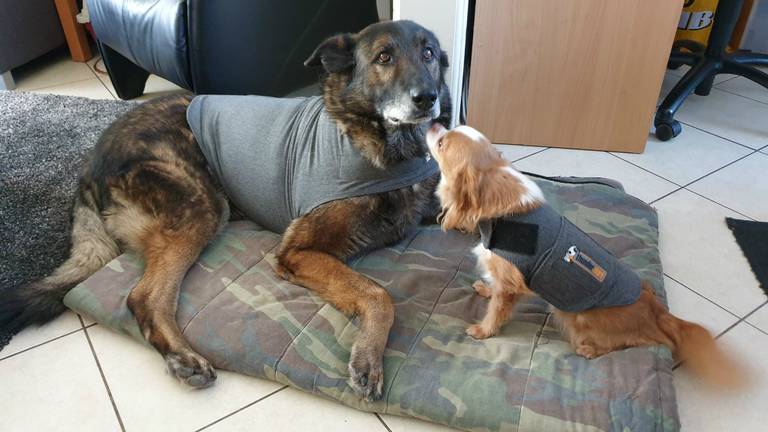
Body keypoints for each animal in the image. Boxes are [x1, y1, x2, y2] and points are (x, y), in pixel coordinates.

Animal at [0, 19, 452, 398]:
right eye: (384, 57)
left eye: (429, 53)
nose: (427, 98)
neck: (379, 148)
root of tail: (92, 160)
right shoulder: (299, 251)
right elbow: (378, 294)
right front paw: (369, 358)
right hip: (202, 206)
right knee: (144, 297)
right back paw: (182, 356)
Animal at [426, 123, 744, 386]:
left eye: (442, 142)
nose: (433, 121)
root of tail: (658, 310)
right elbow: (492, 290)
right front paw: (484, 289)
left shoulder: (510, 284)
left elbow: (496, 311)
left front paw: (483, 331)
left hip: (575, 316)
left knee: (638, 341)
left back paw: (590, 349)